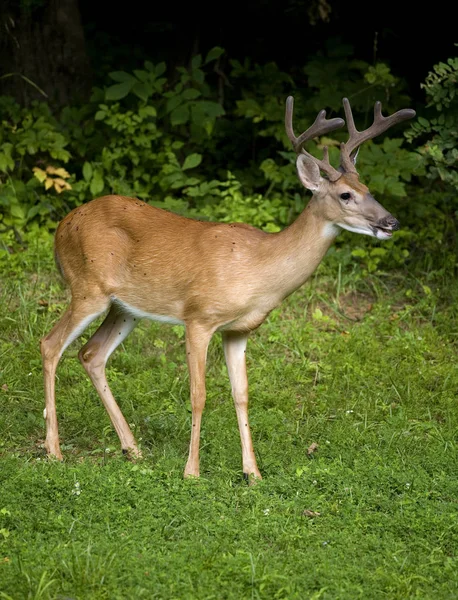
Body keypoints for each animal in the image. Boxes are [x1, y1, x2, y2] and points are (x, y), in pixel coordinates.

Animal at [40, 96, 416, 480]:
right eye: (345, 195)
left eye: (369, 190)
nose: (391, 222)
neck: (258, 269)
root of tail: (62, 227)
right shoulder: (199, 317)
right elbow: (199, 393)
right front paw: (192, 471)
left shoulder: (239, 330)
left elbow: (242, 394)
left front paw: (253, 473)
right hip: (87, 287)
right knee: (50, 344)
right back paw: (54, 450)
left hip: (125, 308)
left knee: (92, 354)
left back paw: (133, 449)